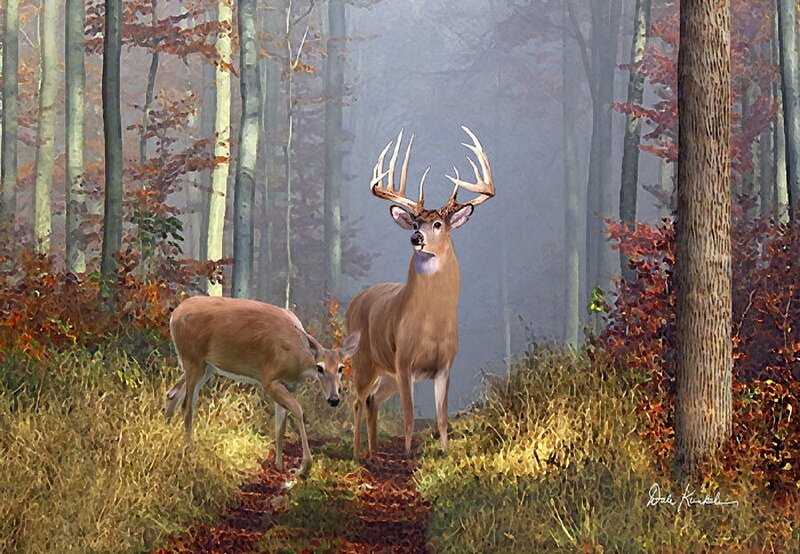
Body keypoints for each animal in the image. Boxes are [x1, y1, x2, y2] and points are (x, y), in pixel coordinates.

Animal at [164, 295, 361, 477]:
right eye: (319, 368)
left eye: (341, 368)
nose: (334, 399)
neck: (296, 359)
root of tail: (175, 315)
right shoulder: (269, 379)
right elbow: (297, 410)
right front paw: (304, 467)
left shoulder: (287, 385)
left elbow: (280, 426)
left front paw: (279, 466)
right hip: (193, 359)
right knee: (187, 406)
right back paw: (191, 450)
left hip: (206, 367)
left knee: (172, 393)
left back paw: (168, 435)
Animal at [347, 126, 495, 459]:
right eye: (415, 221)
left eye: (438, 223)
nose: (416, 237)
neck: (431, 325)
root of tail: (355, 301)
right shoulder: (403, 362)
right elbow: (410, 416)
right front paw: (407, 455)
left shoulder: (445, 365)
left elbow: (441, 417)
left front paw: (445, 453)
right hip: (363, 359)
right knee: (358, 401)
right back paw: (359, 453)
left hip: (385, 373)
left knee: (372, 400)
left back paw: (374, 453)